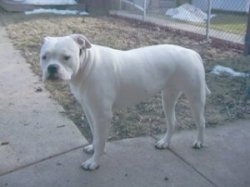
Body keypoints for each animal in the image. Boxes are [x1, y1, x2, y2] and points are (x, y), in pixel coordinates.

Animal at [40, 34, 210, 171]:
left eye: (66, 57)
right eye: (44, 57)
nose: (52, 68)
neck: (86, 66)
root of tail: (192, 52)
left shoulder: (102, 115)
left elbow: (100, 139)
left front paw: (94, 161)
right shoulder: (89, 110)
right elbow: (95, 134)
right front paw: (93, 148)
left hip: (195, 97)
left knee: (201, 122)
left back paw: (199, 142)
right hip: (168, 97)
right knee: (172, 122)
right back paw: (165, 142)